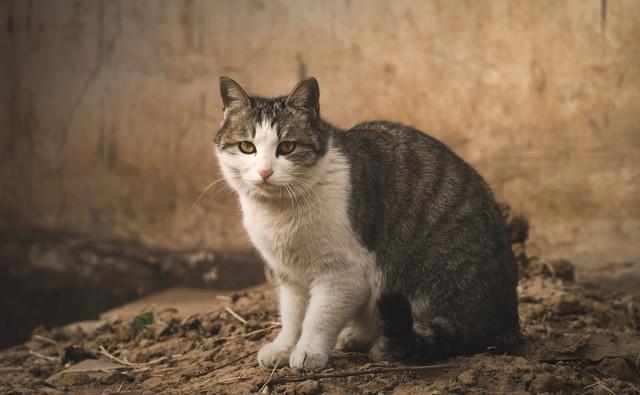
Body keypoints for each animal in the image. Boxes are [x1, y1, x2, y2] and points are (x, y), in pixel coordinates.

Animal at [215, 76, 520, 372]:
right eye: (247, 147)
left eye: (287, 147)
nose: (265, 172)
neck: (280, 212)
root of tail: (508, 322)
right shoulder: (290, 275)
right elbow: (293, 316)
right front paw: (283, 347)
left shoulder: (342, 273)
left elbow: (318, 318)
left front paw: (308, 352)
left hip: (428, 269)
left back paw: (384, 347)